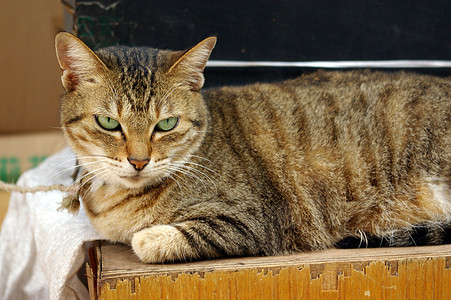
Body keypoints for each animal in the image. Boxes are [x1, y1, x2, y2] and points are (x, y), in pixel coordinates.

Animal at [54, 31, 450, 264]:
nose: (138, 161)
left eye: (166, 124)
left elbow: (151, 240)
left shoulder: (252, 220)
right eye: (109, 123)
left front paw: (148, 235)